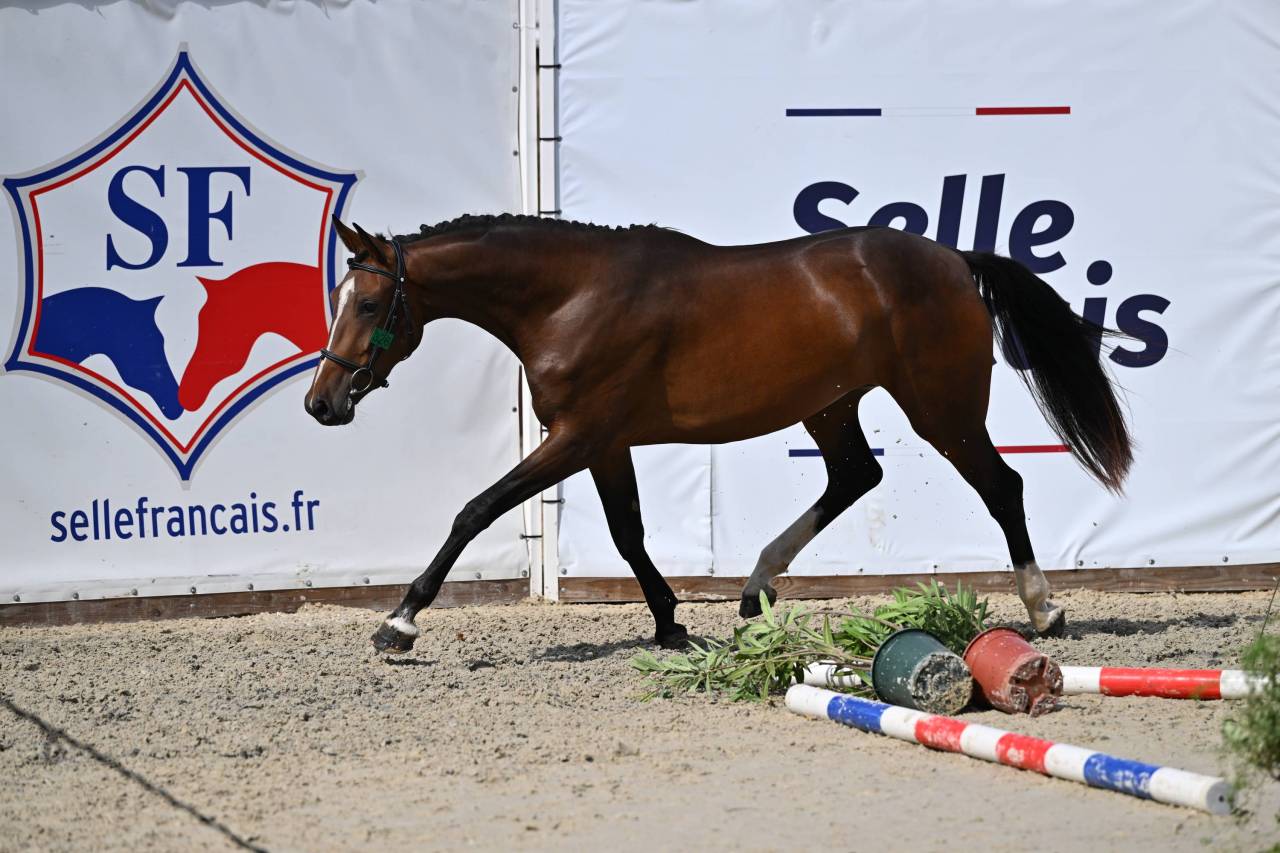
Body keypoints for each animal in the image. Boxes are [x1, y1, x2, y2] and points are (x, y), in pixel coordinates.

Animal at [305, 213, 1131, 654]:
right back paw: (755, 588)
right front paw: (670, 622)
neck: (571, 298)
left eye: (371, 303)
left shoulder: (576, 436)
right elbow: (628, 533)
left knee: (1001, 485)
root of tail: (956, 259)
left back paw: (1044, 608)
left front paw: (399, 621)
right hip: (830, 405)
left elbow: (475, 509)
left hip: (942, 407)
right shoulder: (603, 443)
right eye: (339, 297)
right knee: (855, 475)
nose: (322, 403)